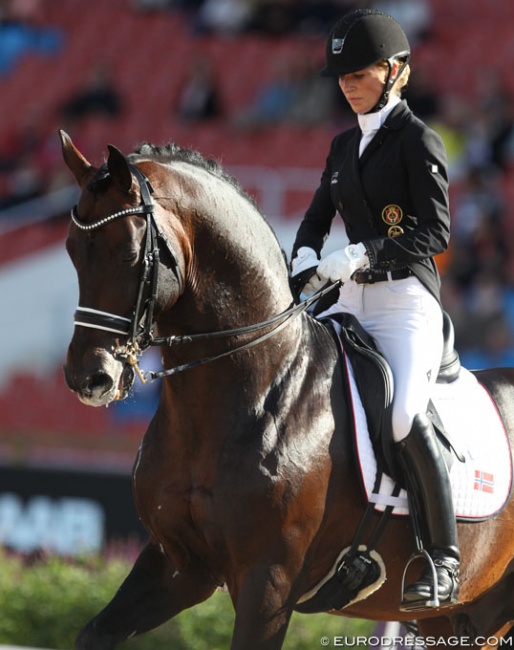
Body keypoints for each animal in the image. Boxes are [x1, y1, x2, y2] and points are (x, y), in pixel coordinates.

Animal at [61, 128, 514, 648]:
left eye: (132, 253)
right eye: (72, 250)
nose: (89, 378)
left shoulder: (269, 583)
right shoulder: (177, 565)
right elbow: (94, 633)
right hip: (459, 619)